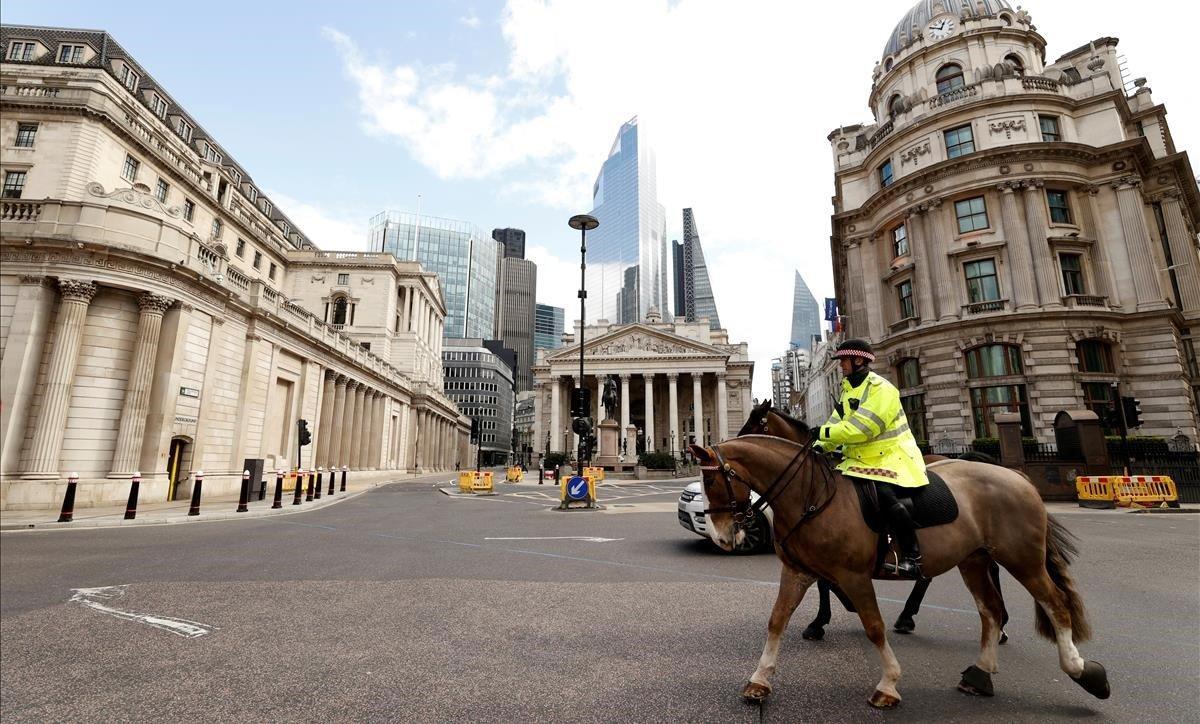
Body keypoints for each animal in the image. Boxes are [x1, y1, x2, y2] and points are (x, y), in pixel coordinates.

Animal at [691, 429, 1108, 705]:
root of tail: (1017, 475)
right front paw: (760, 680)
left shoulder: (854, 575)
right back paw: (980, 673)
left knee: (1056, 604)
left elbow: (873, 626)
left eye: (712, 481)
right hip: (974, 559)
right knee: (990, 610)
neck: (811, 494)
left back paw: (1079, 669)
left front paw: (888, 684)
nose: (721, 537)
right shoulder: (798, 572)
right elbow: (777, 620)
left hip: (1022, 557)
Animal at [734, 398, 1008, 643]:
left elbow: (825, 582)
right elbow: (824, 581)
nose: (731, 443)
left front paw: (823, 619)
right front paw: (830, 614)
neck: (815, 480)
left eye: (755, 423)